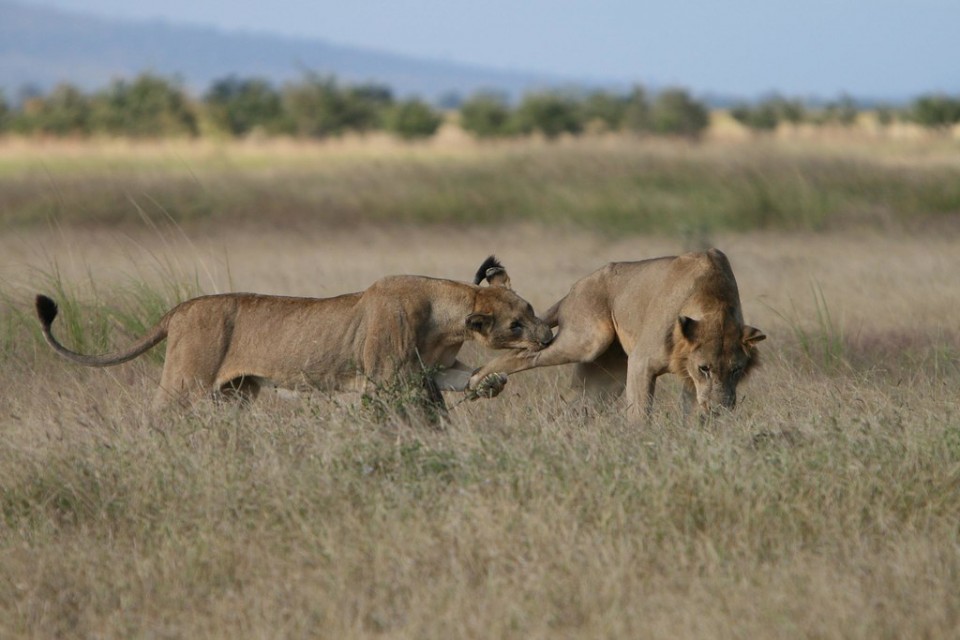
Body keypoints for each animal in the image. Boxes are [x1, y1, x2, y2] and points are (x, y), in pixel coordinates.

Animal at [36, 256, 553, 416]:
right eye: (517, 324)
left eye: (530, 311)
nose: (549, 336)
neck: (447, 314)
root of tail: (180, 308)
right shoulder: (387, 380)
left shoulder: (432, 369)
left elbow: (463, 378)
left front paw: (490, 383)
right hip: (184, 382)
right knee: (156, 417)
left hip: (234, 394)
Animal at [468, 249, 765, 422]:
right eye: (705, 368)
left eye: (737, 370)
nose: (720, 409)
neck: (715, 305)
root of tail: (575, 288)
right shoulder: (642, 363)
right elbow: (640, 414)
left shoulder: (689, 377)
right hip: (587, 339)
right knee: (526, 354)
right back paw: (480, 380)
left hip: (605, 379)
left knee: (572, 408)